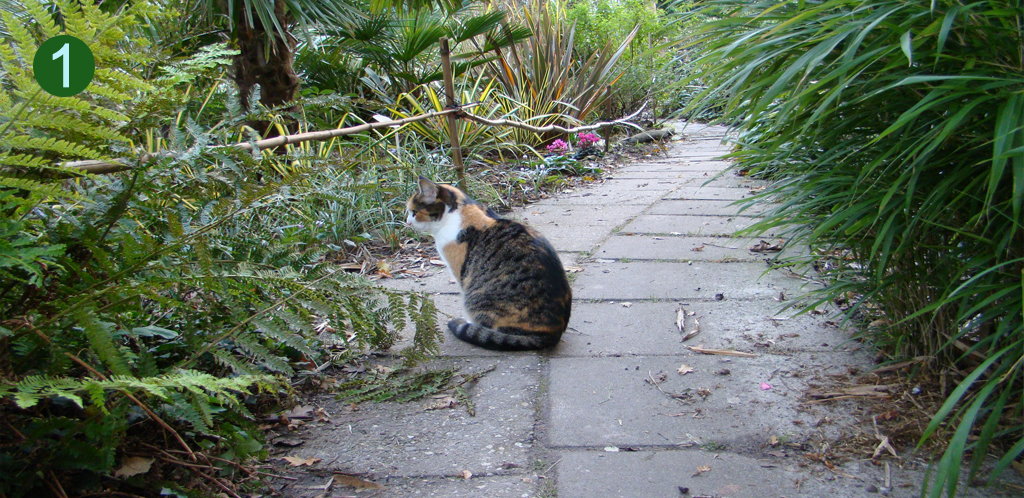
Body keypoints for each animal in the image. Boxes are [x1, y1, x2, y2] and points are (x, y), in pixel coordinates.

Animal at [405, 176, 569, 350]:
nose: (407, 222)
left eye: (414, 212)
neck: (457, 213)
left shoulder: (461, 273)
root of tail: (553, 332)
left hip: (479, 297)